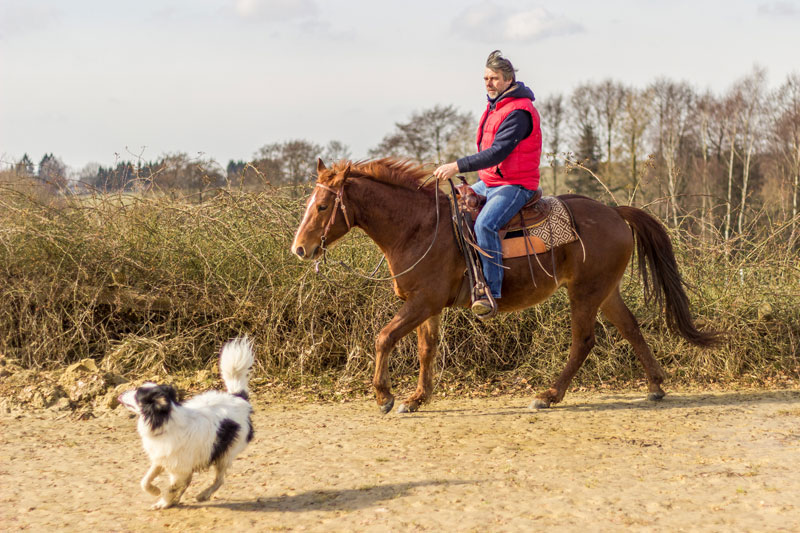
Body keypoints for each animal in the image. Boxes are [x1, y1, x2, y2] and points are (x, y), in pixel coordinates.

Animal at [118, 336, 253, 508]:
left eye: (137, 394)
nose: (122, 392)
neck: (165, 423)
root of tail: (238, 397)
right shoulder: (162, 459)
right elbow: (145, 481)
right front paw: (155, 492)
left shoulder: (179, 469)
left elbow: (172, 488)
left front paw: (163, 503)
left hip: (225, 454)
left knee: (219, 479)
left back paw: (203, 495)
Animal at [294, 156, 720, 414]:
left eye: (322, 206)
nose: (300, 248)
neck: (419, 227)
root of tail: (614, 212)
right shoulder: (425, 306)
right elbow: (426, 350)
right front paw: (416, 398)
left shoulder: (422, 302)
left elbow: (384, 337)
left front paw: (384, 395)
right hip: (605, 290)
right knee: (630, 328)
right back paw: (655, 385)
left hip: (584, 293)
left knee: (584, 341)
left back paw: (549, 395)